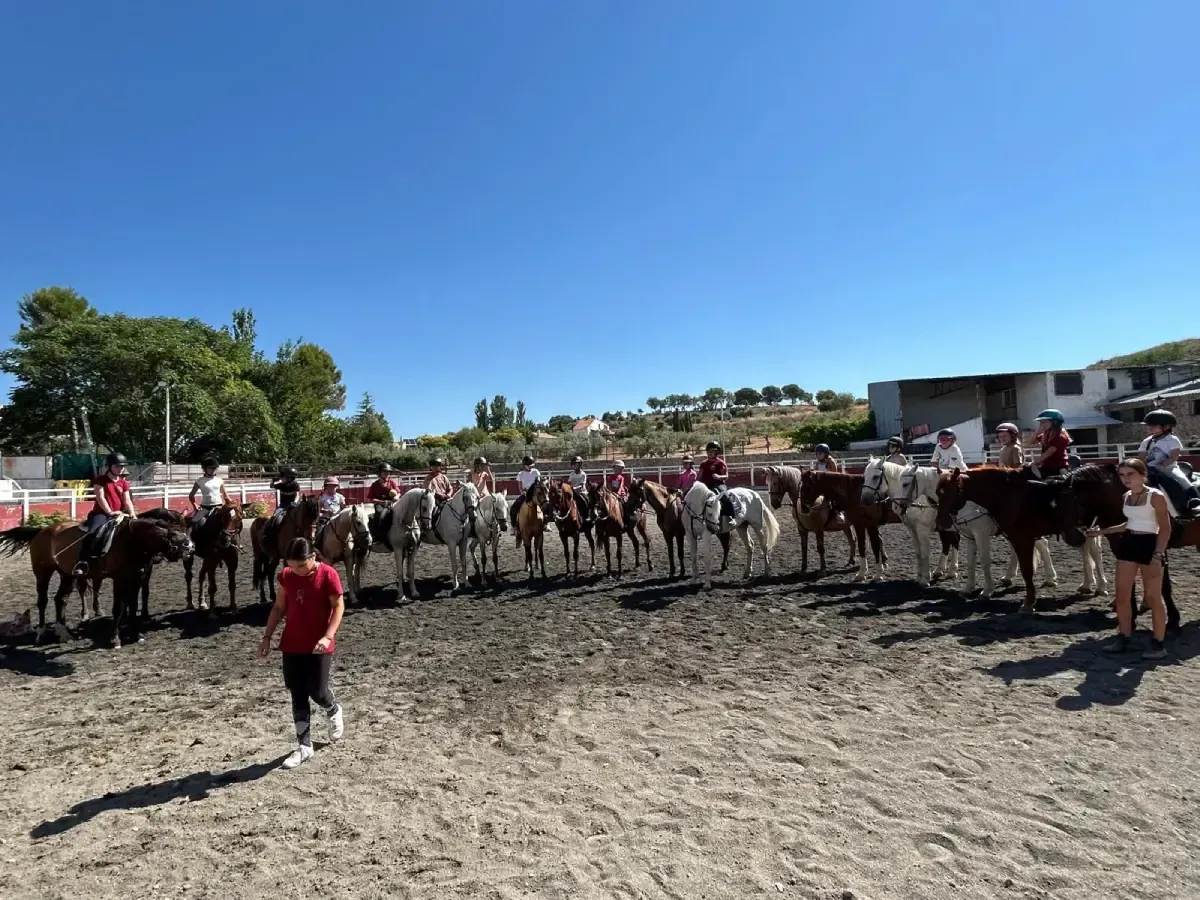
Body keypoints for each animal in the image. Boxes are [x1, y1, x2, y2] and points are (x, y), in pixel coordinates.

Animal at [0, 515, 193, 648]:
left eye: (184, 530)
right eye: (173, 534)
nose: (190, 546)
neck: (130, 541)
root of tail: (41, 531)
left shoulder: (136, 578)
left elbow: (132, 605)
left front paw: (136, 634)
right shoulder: (119, 579)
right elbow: (118, 609)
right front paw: (115, 639)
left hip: (67, 575)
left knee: (60, 599)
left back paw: (64, 633)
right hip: (43, 573)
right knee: (42, 601)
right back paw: (40, 634)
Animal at [861, 459, 961, 587]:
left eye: (875, 476)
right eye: (864, 476)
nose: (864, 499)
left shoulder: (922, 530)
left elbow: (925, 553)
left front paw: (925, 579)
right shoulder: (912, 529)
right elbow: (918, 553)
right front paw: (919, 577)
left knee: (954, 542)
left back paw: (952, 571)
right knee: (949, 542)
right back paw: (940, 570)